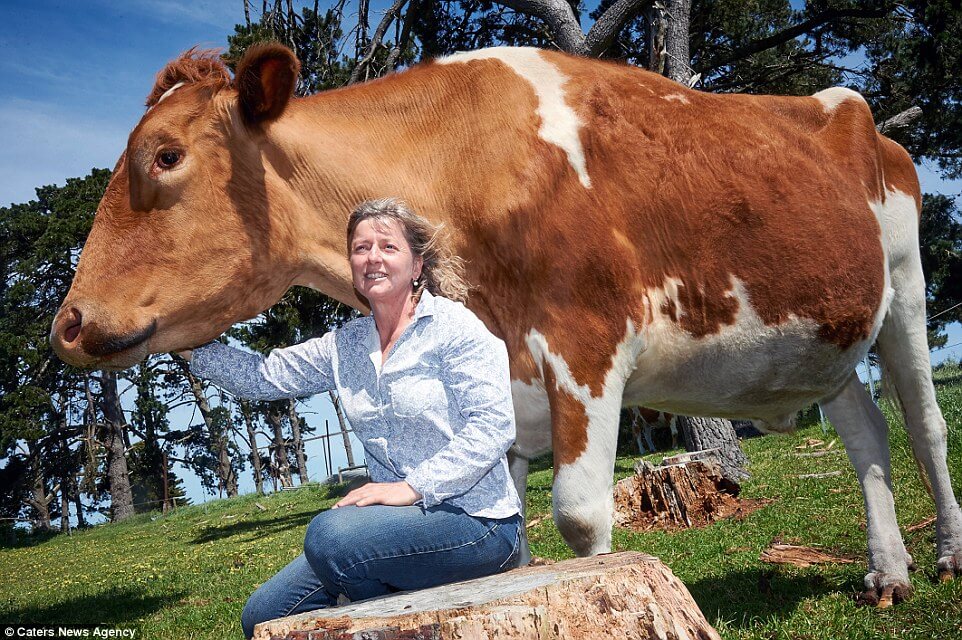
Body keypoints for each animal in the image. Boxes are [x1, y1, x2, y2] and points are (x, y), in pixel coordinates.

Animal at [52, 45, 960, 604]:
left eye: (166, 155)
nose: (67, 322)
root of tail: (849, 111)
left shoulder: (585, 346)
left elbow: (583, 519)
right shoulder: (510, 391)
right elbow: (513, 545)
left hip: (906, 289)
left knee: (924, 423)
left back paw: (946, 556)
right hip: (818, 342)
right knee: (866, 434)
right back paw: (889, 574)